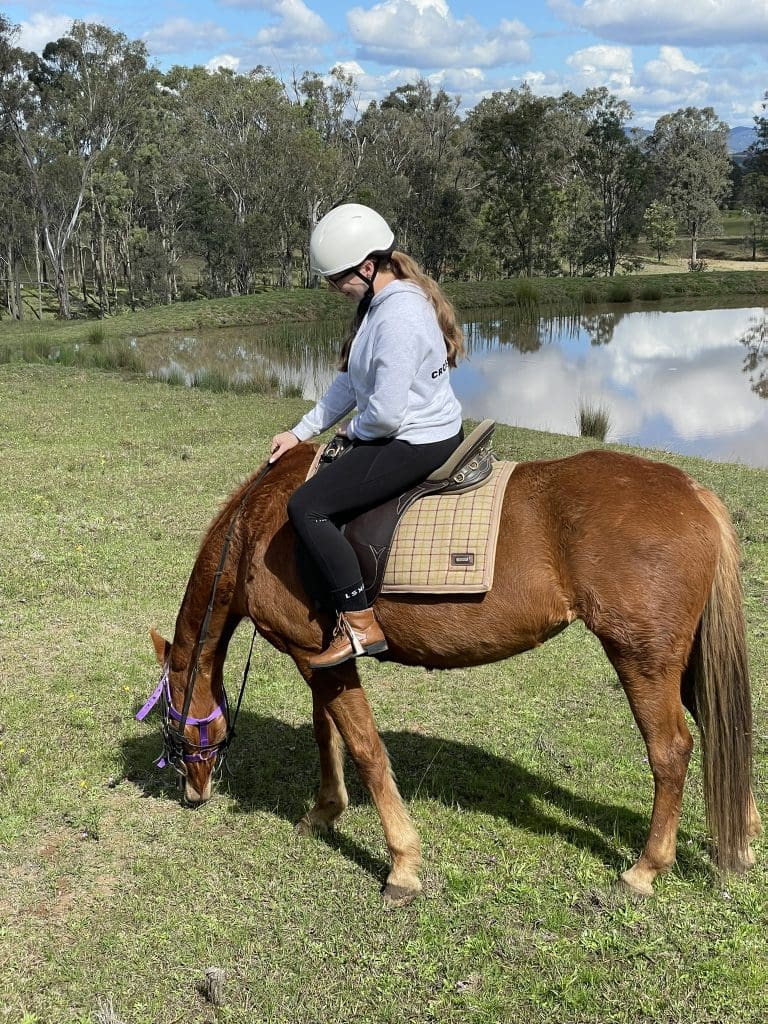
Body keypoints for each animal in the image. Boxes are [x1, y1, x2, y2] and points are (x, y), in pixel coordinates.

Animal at [145, 442, 765, 905]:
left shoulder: (315, 657)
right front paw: (324, 811)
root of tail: (693, 493)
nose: (192, 792)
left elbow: (366, 749)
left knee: (672, 751)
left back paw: (645, 869)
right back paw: (742, 837)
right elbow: (329, 736)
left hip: (642, 659)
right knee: (723, 727)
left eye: (172, 727)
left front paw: (402, 864)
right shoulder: (320, 658)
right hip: (689, 659)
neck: (260, 524)